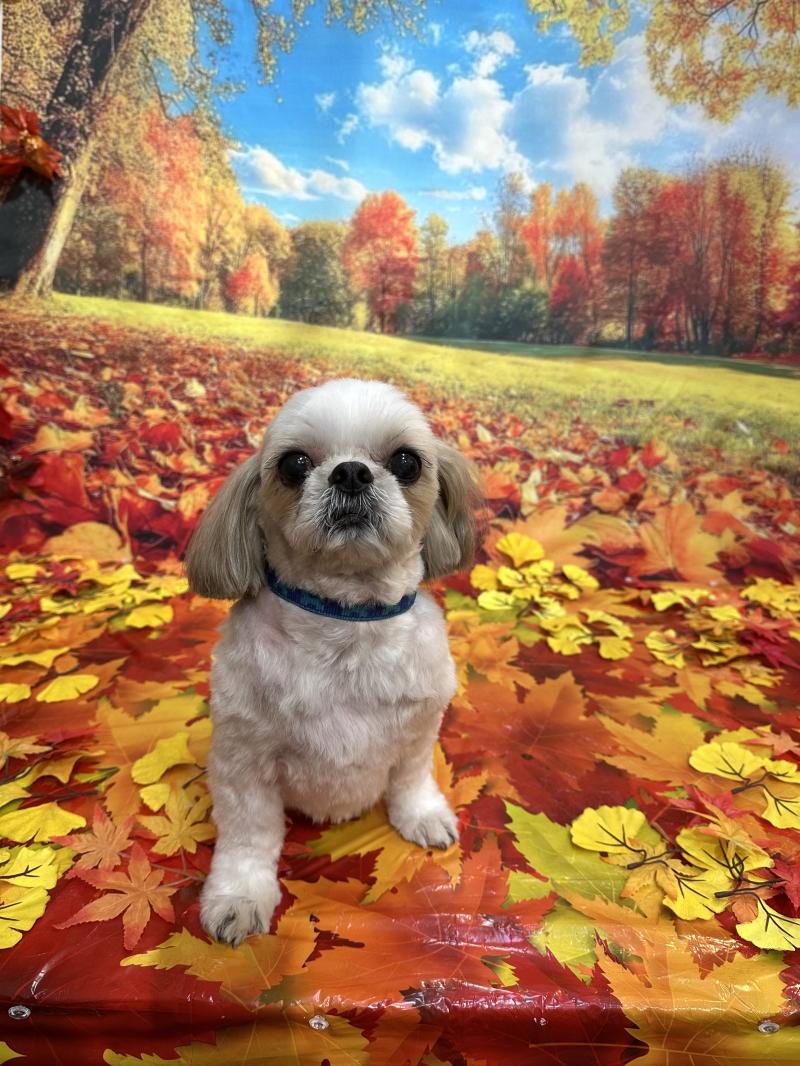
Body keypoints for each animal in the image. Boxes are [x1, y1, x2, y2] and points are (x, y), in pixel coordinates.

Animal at [185, 378, 480, 946]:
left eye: (406, 461)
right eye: (294, 464)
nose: (350, 472)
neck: (346, 621)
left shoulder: (419, 726)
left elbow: (411, 777)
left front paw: (422, 815)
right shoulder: (243, 760)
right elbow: (249, 835)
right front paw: (239, 898)